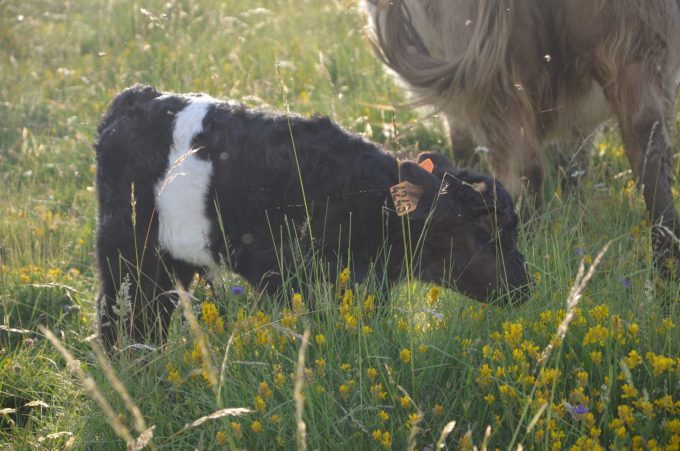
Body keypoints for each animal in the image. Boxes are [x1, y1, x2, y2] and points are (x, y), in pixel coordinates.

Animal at [94, 86, 532, 352]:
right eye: (484, 230)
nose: (524, 288)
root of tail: (134, 99)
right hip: (126, 252)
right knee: (118, 318)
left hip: (170, 263)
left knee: (151, 317)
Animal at [364, 0, 680, 276]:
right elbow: (573, 167)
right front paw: (578, 222)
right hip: (640, 50)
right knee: (650, 153)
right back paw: (665, 270)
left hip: (491, 71)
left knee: (521, 170)